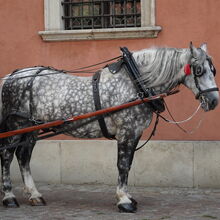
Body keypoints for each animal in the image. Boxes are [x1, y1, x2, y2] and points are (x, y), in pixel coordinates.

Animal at [0, 42, 218, 212]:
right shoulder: (127, 132)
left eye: (213, 70)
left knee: (23, 157)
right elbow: (122, 165)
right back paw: (9, 197)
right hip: (16, 125)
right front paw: (124, 200)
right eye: (199, 71)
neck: (136, 83)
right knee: (7, 155)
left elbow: (128, 165)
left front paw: (128, 197)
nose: (214, 101)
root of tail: (11, 76)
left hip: (31, 128)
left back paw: (35, 195)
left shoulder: (135, 133)